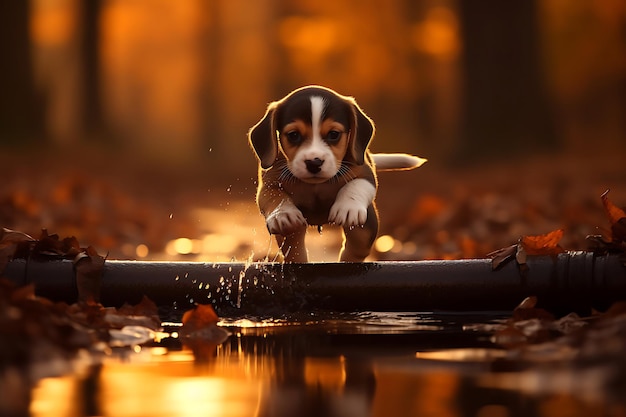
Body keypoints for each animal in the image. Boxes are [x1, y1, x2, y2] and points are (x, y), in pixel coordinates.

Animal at [249, 85, 424, 262]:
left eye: (333, 134)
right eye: (293, 135)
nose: (314, 162)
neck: (316, 185)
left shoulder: (365, 175)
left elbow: (355, 185)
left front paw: (348, 208)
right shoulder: (268, 184)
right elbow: (274, 196)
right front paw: (283, 213)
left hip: (366, 229)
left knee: (356, 248)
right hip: (292, 234)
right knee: (296, 250)